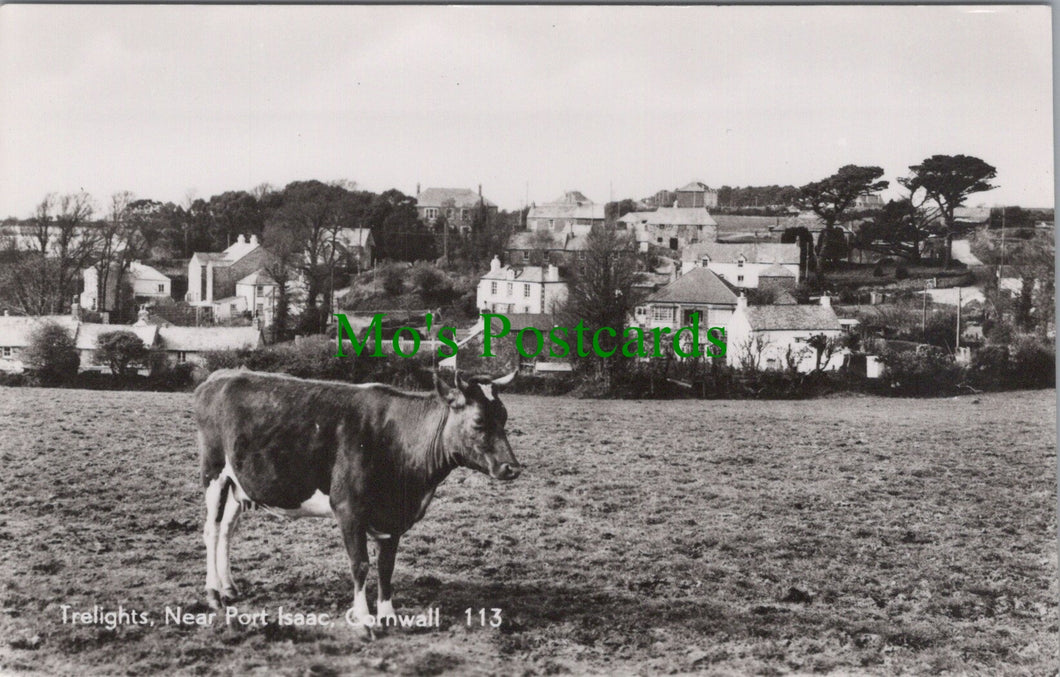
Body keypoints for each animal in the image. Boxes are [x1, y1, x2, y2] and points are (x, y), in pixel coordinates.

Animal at [195, 370, 521, 631]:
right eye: (478, 421)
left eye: (504, 416)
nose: (512, 468)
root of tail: (221, 377)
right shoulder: (348, 509)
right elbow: (360, 564)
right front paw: (364, 618)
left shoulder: (392, 517)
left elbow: (387, 566)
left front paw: (388, 614)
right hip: (213, 472)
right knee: (212, 530)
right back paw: (213, 593)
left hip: (239, 484)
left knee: (227, 530)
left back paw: (229, 587)